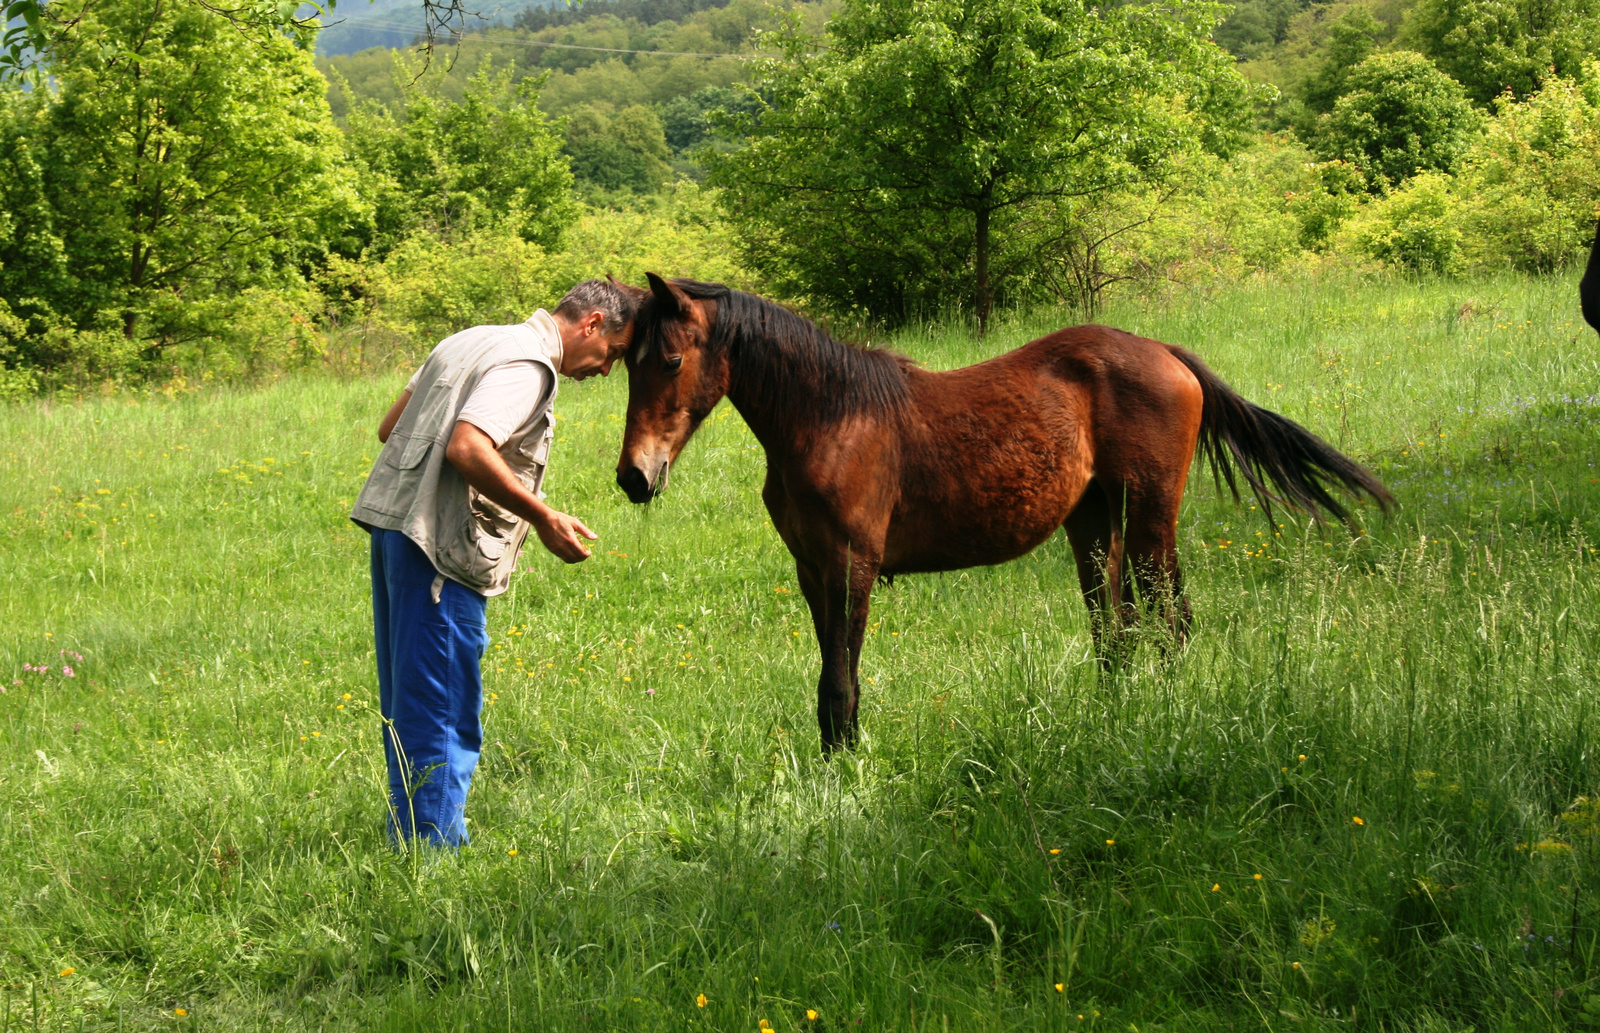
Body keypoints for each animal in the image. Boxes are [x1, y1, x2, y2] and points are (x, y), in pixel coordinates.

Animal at [611, 271, 1388, 748]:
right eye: (627, 364)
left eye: (671, 361)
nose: (634, 478)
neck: (830, 418)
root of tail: (1166, 353)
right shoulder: (811, 571)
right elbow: (831, 674)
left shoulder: (850, 564)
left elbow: (841, 678)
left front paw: (846, 771)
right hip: (1093, 523)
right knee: (1116, 628)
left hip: (1149, 516)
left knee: (1167, 616)